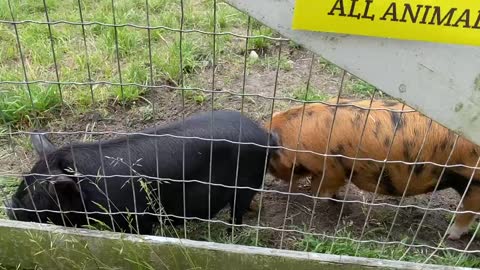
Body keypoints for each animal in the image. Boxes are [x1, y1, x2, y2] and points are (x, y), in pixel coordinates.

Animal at [4, 110, 278, 235]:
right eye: (25, 181)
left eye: (39, 194)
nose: (8, 206)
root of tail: (265, 136)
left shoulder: (138, 218)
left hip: (245, 184)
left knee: (237, 211)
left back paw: (230, 232)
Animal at [266, 98, 480, 239]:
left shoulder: (332, 169)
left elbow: (323, 188)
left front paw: (319, 197)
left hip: (472, 181)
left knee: (469, 210)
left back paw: (449, 235)